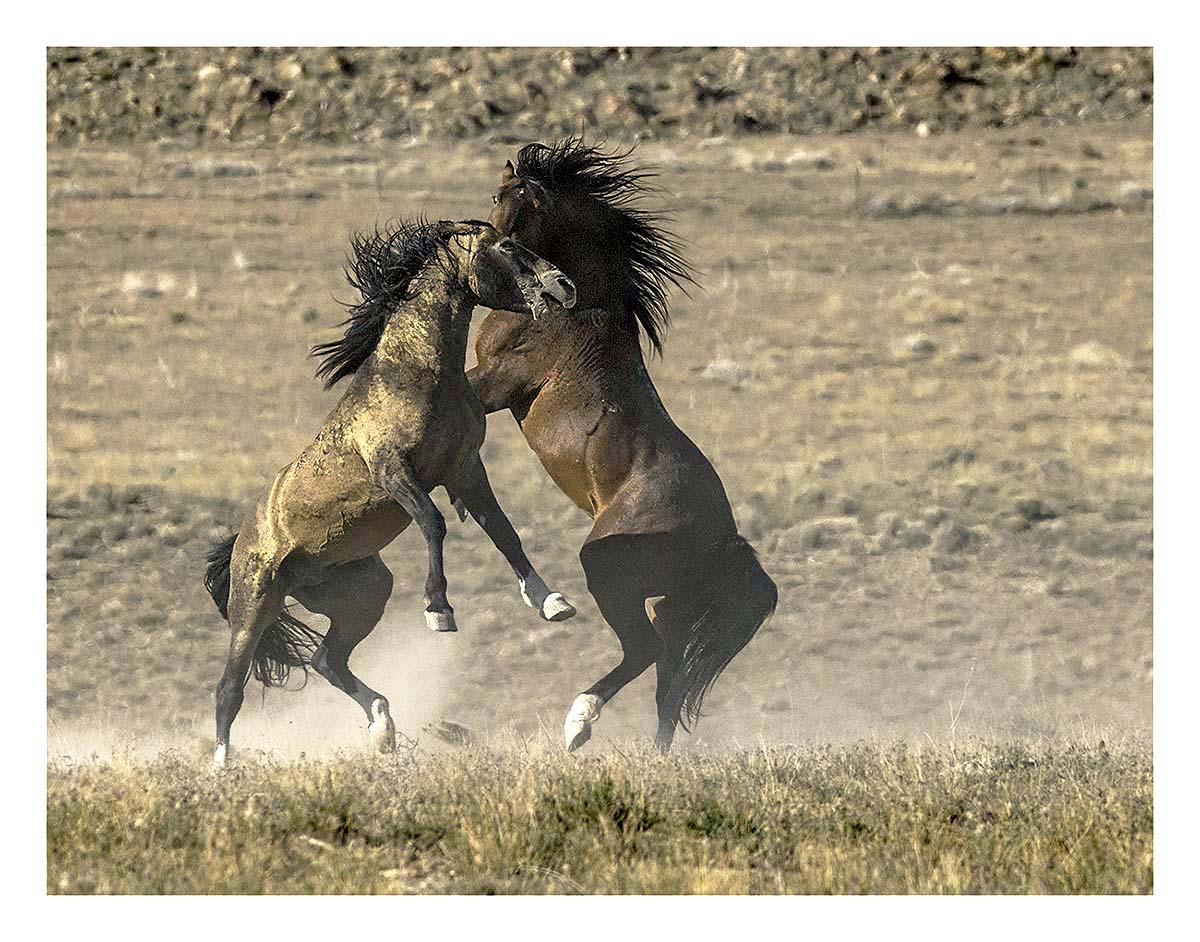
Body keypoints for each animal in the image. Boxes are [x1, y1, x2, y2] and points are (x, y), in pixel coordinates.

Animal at [203, 219, 577, 766]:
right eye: (508, 245)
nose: (562, 287)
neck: (418, 374)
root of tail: (240, 542)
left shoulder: (465, 468)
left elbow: (504, 532)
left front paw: (551, 601)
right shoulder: (395, 472)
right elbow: (434, 524)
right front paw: (438, 610)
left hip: (364, 595)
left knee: (327, 660)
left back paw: (382, 725)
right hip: (255, 605)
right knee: (229, 689)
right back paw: (223, 766)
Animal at [468, 139, 778, 753]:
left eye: (522, 201)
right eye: (496, 194)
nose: (493, 247)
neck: (575, 308)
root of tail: (725, 541)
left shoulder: (494, 384)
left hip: (611, 575)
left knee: (644, 653)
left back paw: (578, 723)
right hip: (673, 608)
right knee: (669, 684)